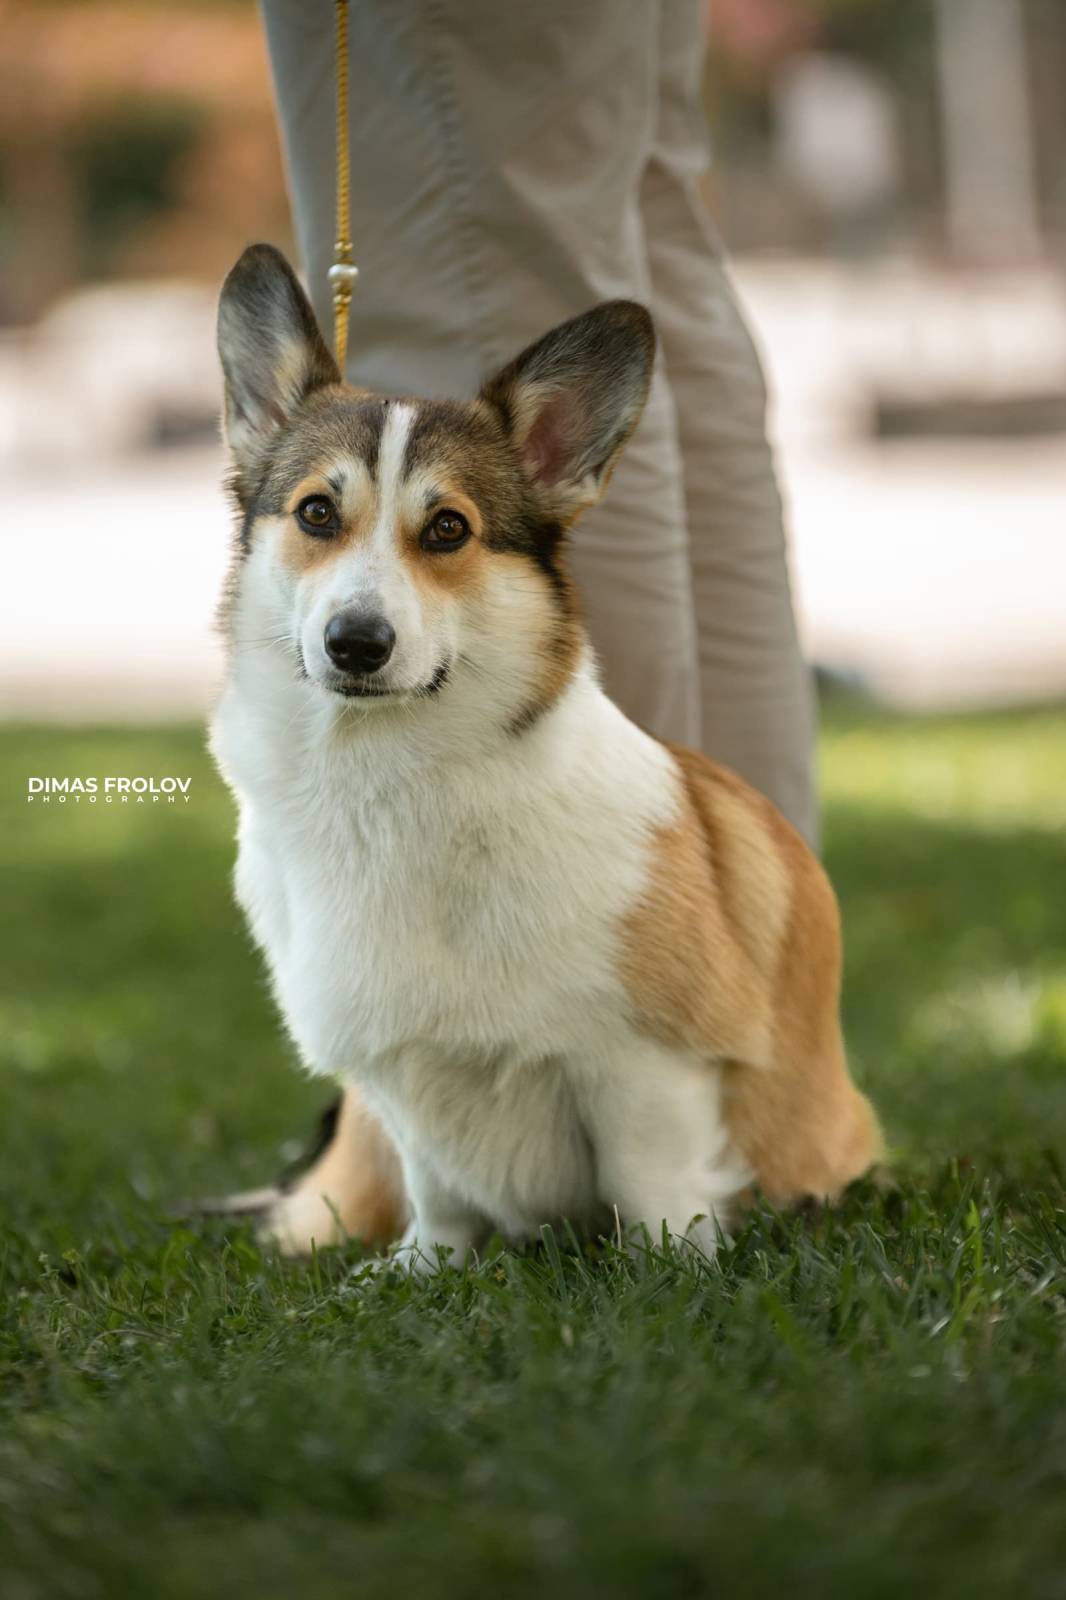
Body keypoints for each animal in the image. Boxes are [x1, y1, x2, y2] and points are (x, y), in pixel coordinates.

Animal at [208, 243, 882, 1268]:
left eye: (448, 528)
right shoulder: (404, 1085)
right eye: (317, 513)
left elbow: (654, 1189)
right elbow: (438, 1191)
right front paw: (425, 1271)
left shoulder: (648, 1065)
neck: (384, 783)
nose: (355, 644)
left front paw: (668, 1276)